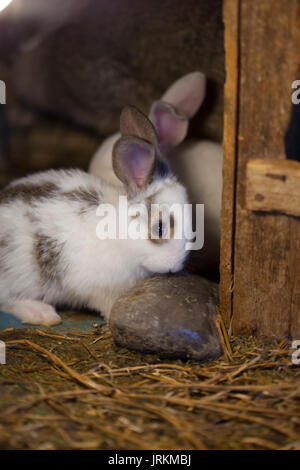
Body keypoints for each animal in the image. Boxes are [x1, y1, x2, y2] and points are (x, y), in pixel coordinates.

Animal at [0, 105, 191, 326]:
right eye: (159, 228)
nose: (174, 267)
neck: (121, 236)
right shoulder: (99, 289)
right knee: (8, 301)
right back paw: (41, 313)